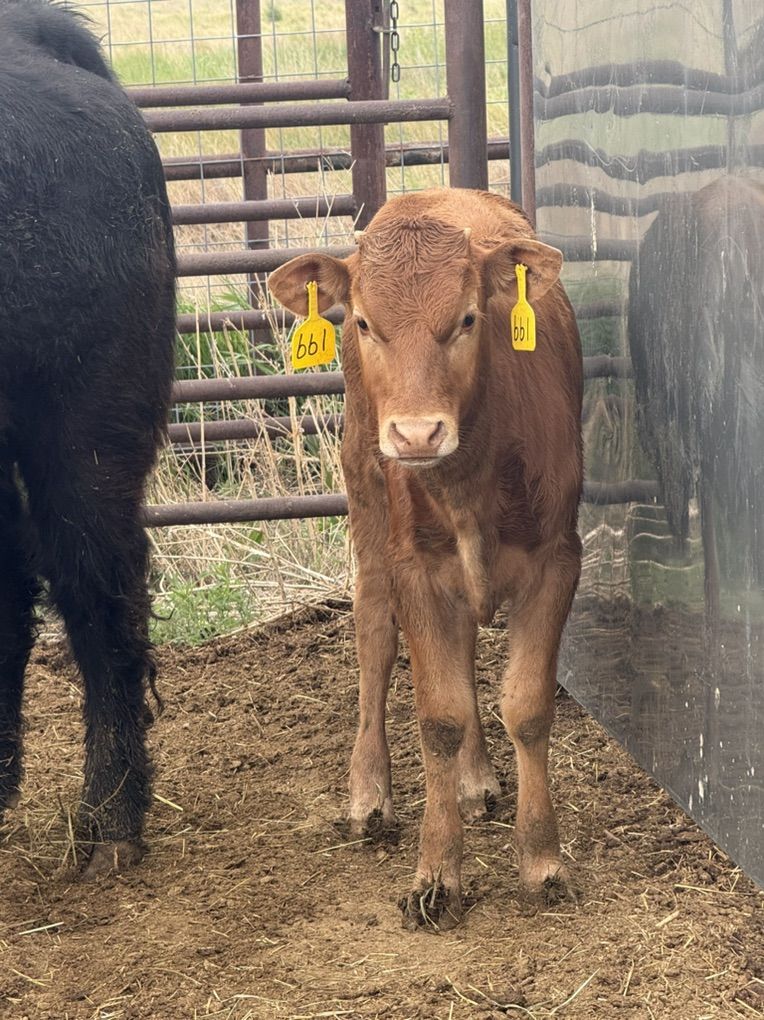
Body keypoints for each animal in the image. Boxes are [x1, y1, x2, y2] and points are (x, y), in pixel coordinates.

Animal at [270, 188, 583, 930]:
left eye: (467, 318)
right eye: (363, 321)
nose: (416, 434)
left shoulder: (558, 560)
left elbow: (526, 708)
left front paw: (542, 859)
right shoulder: (414, 568)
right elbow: (438, 717)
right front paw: (437, 873)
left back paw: (476, 780)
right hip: (364, 493)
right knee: (374, 638)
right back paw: (369, 795)